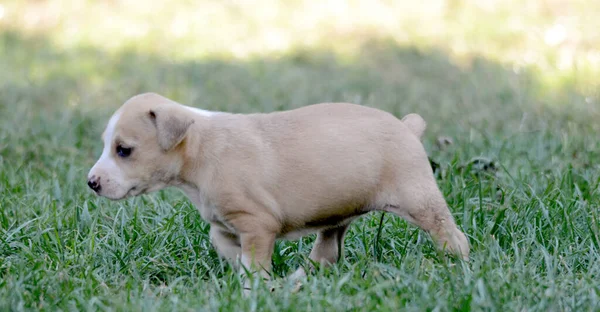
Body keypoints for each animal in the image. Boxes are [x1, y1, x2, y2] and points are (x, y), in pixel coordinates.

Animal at [88, 94, 468, 288]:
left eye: (124, 150)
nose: (92, 183)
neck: (198, 147)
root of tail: (407, 127)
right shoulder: (228, 222)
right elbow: (221, 240)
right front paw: (239, 267)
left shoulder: (257, 222)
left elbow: (254, 259)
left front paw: (253, 285)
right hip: (338, 213)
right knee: (327, 251)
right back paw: (302, 276)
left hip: (419, 199)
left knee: (451, 234)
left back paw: (457, 265)